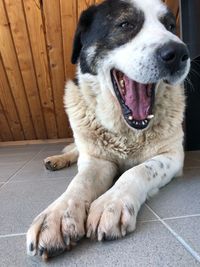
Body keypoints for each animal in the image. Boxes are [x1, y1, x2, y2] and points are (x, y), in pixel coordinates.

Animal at [25, 0, 190, 260]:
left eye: (171, 26)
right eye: (125, 24)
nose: (179, 54)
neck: (127, 132)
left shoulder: (172, 156)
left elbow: (137, 171)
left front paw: (110, 203)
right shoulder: (96, 160)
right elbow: (80, 181)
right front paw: (57, 216)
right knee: (75, 150)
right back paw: (57, 160)